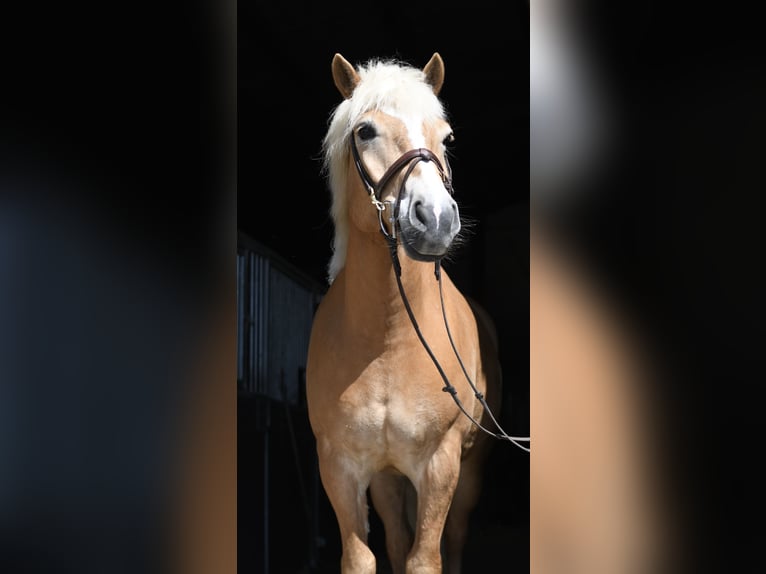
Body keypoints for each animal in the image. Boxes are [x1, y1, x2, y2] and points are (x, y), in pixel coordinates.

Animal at [306, 52, 504, 574]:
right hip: (389, 478)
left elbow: (425, 558)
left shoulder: (440, 463)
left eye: (447, 137)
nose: (434, 219)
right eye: (365, 131)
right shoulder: (343, 466)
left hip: (469, 473)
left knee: (454, 540)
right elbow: (366, 557)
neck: (388, 340)